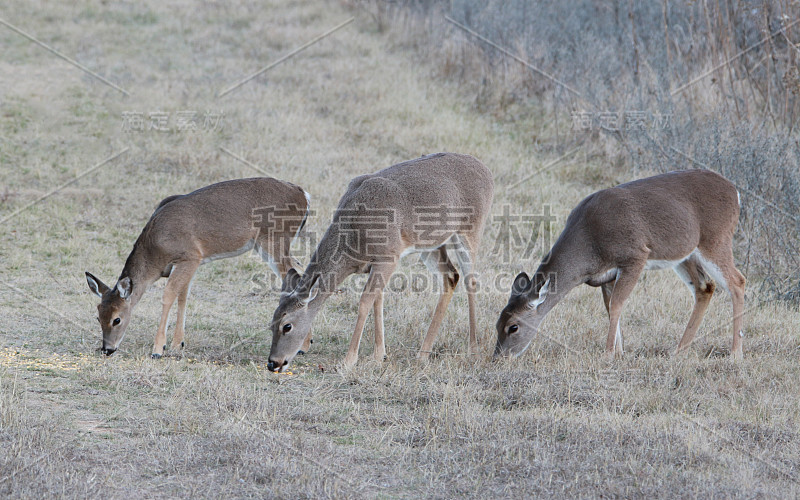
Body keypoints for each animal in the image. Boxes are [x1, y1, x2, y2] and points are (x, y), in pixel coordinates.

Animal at [86, 178, 310, 358]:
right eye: (98, 316)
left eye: (116, 319)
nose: (107, 349)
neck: (155, 251)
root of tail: (303, 195)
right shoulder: (188, 265)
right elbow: (183, 297)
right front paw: (178, 344)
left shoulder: (190, 257)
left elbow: (169, 295)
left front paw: (158, 349)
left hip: (274, 241)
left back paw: (302, 346)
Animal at [268, 152, 494, 372]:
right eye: (271, 323)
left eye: (287, 326)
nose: (273, 363)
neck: (355, 237)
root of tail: (486, 171)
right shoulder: (375, 264)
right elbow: (378, 300)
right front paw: (379, 355)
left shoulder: (389, 256)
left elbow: (365, 302)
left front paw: (348, 360)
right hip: (431, 244)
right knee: (450, 276)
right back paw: (423, 354)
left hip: (470, 230)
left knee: (471, 280)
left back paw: (473, 350)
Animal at [496, 170, 748, 362]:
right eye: (497, 324)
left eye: (513, 327)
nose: (498, 357)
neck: (589, 243)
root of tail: (735, 192)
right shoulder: (606, 276)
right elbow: (610, 308)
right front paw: (619, 352)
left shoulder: (635, 256)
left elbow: (617, 304)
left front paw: (608, 354)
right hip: (686, 254)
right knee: (705, 287)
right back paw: (678, 351)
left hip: (715, 239)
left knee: (737, 281)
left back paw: (735, 353)